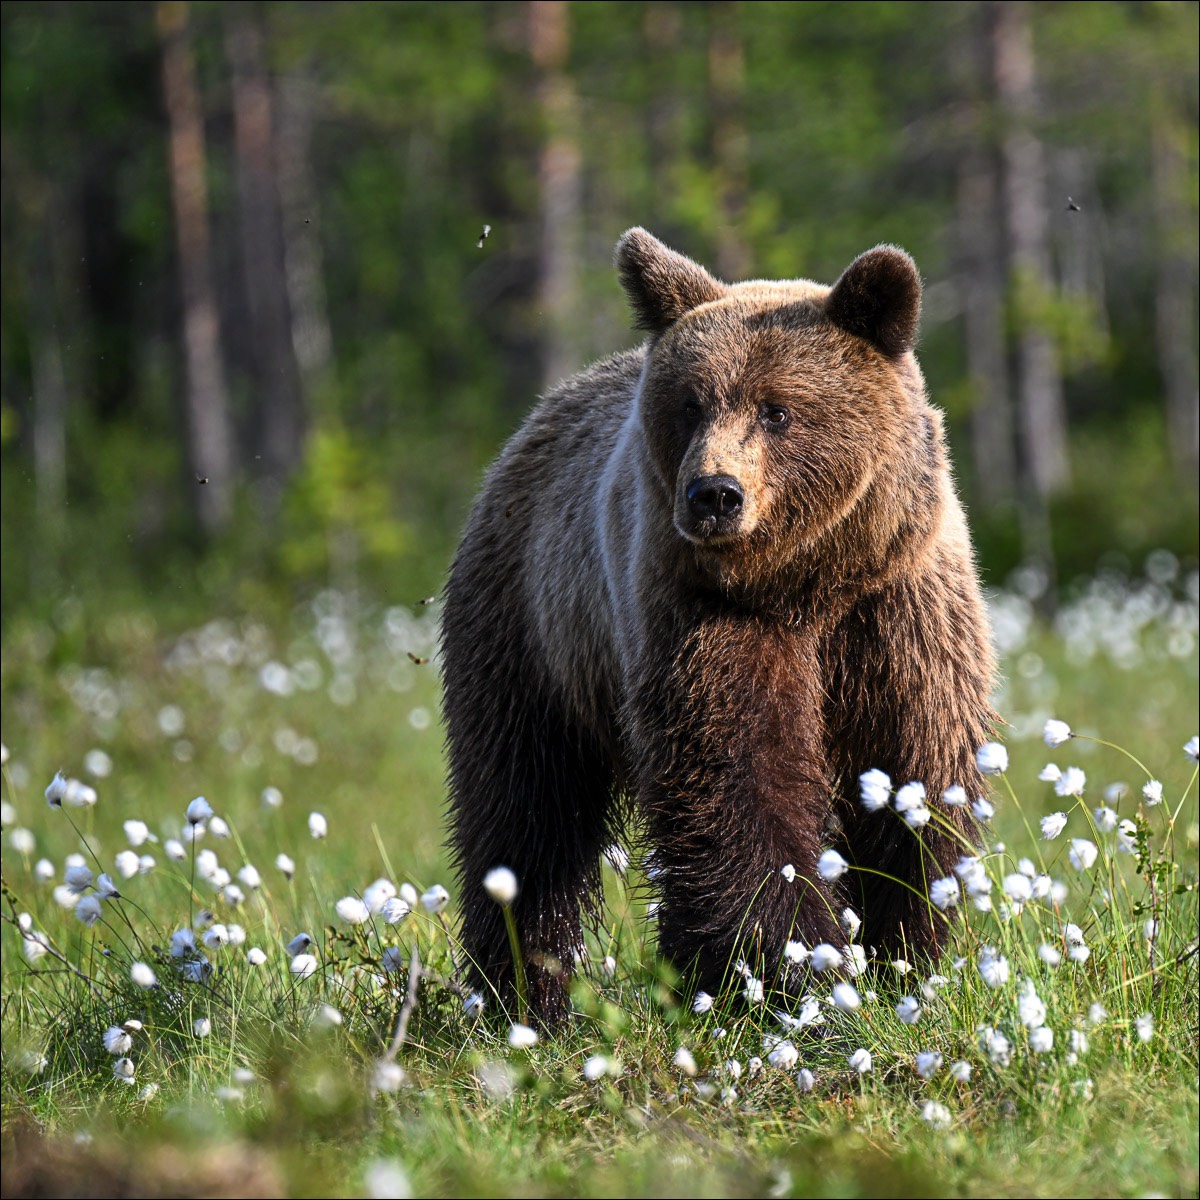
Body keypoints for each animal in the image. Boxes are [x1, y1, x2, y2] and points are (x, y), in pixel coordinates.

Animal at [439, 226, 993, 1022]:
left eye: (777, 409)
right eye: (692, 405)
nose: (714, 494)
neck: (805, 579)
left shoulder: (896, 611)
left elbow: (913, 775)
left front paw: (900, 953)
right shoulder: (707, 616)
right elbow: (736, 778)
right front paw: (791, 966)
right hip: (532, 629)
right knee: (524, 809)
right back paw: (523, 990)